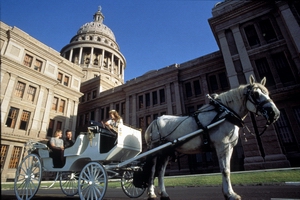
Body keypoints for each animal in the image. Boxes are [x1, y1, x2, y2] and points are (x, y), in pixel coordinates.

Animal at [144, 75, 280, 200]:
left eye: (267, 93)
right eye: (255, 94)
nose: (275, 113)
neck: (224, 113)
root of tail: (154, 121)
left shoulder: (229, 146)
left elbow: (227, 169)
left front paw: (227, 193)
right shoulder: (222, 146)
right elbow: (225, 170)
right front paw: (230, 194)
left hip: (166, 152)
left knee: (160, 172)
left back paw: (164, 194)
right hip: (155, 150)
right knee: (152, 171)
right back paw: (151, 194)